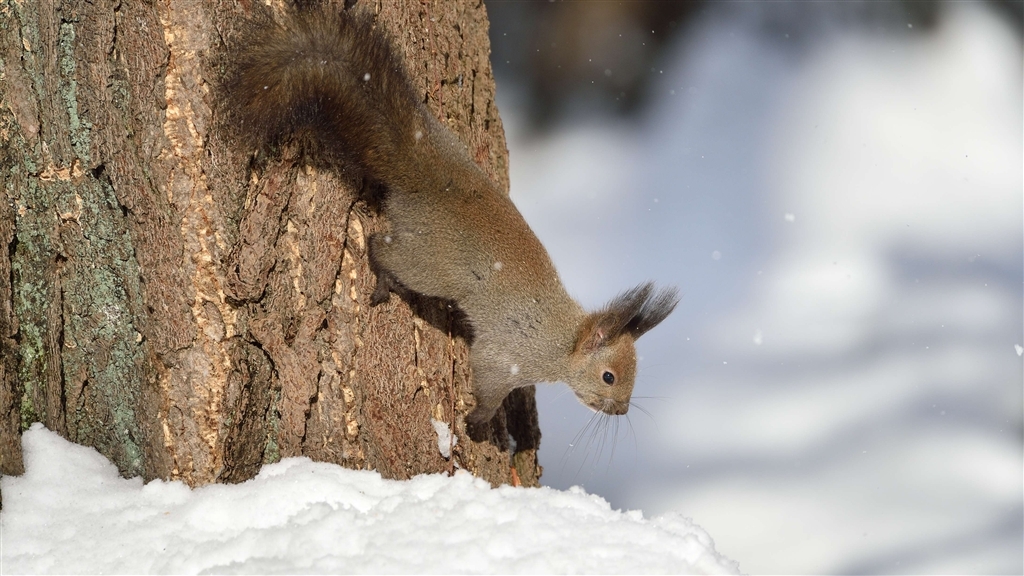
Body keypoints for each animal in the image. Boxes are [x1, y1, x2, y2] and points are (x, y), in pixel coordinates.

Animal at [225, 4, 675, 424]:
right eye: (609, 377)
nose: (621, 411)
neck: (562, 341)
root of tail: (429, 178)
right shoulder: (508, 354)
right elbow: (490, 382)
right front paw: (478, 420)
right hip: (433, 266)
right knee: (381, 245)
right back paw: (384, 279)